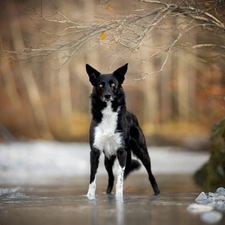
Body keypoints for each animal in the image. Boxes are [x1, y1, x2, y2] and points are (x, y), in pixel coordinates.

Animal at [85, 62, 160, 197]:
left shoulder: (121, 151)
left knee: (151, 175)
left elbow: (120, 178)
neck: (108, 112)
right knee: (110, 178)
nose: (107, 96)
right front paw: (90, 196)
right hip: (108, 160)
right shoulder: (95, 151)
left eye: (113, 84)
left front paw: (119, 197)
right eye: (100, 85)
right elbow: (92, 178)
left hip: (142, 152)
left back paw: (157, 192)